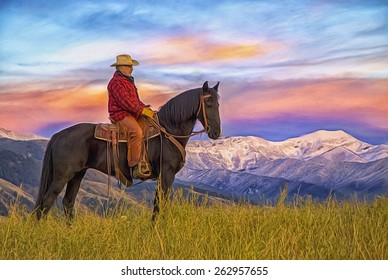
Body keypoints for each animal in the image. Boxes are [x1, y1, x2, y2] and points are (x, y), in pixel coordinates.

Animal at [34, 82, 221, 220]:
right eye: (208, 103)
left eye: (218, 104)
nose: (216, 133)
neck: (168, 130)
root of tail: (58, 135)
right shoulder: (167, 173)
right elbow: (160, 204)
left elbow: (158, 203)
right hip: (62, 175)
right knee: (47, 200)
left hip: (77, 174)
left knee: (68, 202)